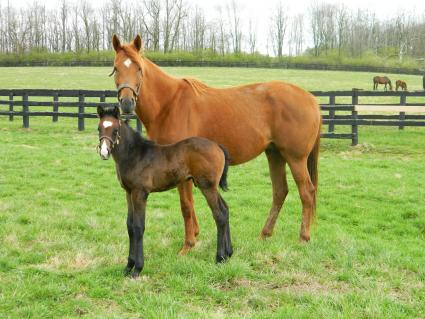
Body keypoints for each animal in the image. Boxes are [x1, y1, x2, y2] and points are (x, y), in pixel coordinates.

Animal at [97, 106, 232, 278]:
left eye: (115, 130)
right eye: (99, 128)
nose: (104, 152)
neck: (135, 155)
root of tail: (218, 147)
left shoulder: (140, 193)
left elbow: (138, 227)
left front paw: (137, 269)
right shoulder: (128, 192)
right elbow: (129, 226)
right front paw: (128, 267)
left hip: (207, 186)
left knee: (219, 214)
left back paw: (219, 257)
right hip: (212, 187)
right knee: (225, 209)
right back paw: (228, 254)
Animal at [111, 35, 320, 255]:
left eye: (139, 68)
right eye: (116, 68)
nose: (126, 103)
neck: (169, 104)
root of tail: (310, 98)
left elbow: (185, 205)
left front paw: (188, 245)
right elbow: (190, 203)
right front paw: (194, 234)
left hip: (295, 158)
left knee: (307, 192)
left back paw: (303, 237)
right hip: (275, 154)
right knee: (280, 192)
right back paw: (265, 234)